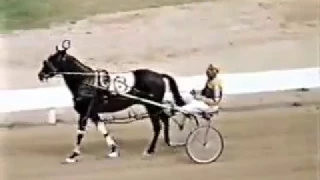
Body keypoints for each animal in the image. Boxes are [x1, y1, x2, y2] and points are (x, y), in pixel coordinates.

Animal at [37, 40, 186, 164]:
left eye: (52, 60)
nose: (40, 75)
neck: (86, 82)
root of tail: (159, 75)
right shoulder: (93, 113)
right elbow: (103, 129)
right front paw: (114, 150)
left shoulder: (84, 112)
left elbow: (80, 133)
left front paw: (73, 155)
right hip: (153, 106)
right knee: (165, 119)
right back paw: (168, 142)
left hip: (151, 106)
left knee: (157, 126)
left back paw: (150, 150)